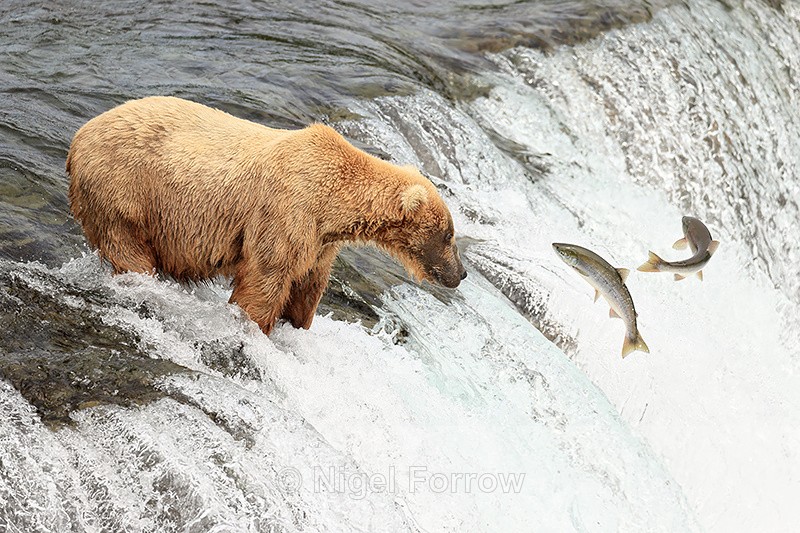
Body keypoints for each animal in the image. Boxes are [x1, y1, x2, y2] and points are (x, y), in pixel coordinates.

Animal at [66, 96, 466, 335]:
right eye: (448, 235)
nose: (460, 274)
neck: (333, 204)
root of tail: (78, 136)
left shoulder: (320, 242)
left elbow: (308, 286)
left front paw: (297, 323)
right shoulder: (286, 212)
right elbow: (266, 278)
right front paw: (255, 326)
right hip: (124, 193)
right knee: (129, 249)